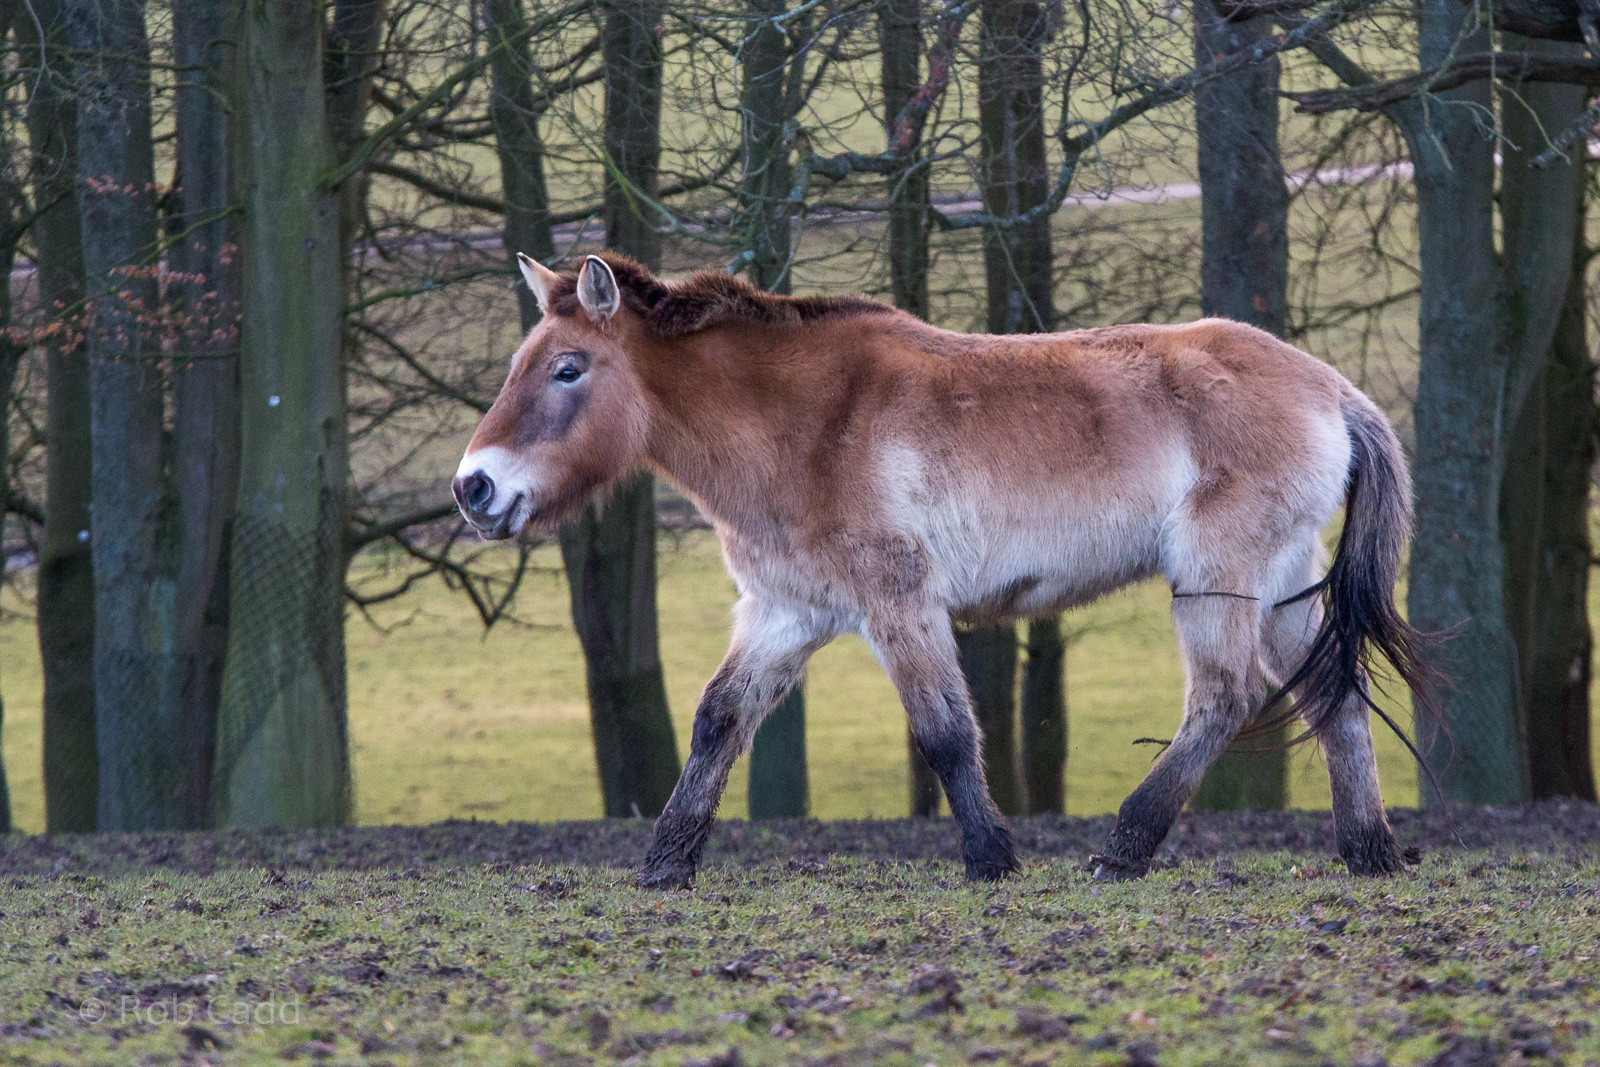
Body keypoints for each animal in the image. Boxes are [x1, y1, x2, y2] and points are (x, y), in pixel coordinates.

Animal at [453, 252, 1431, 888]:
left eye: (568, 368)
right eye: (522, 365)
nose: (473, 487)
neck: (805, 422)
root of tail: (1332, 389)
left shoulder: (900, 602)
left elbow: (946, 732)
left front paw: (991, 860)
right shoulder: (785, 612)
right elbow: (719, 721)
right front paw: (665, 863)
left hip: (1218, 577)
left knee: (1225, 698)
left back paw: (1124, 848)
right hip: (1280, 586)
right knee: (1333, 698)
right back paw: (1370, 853)